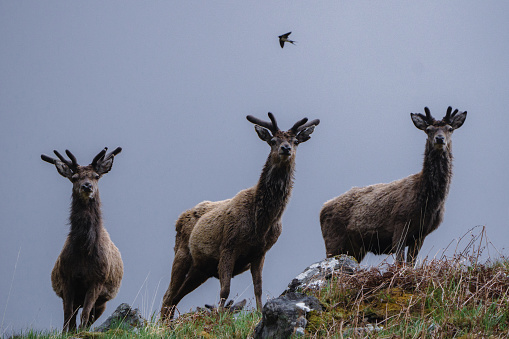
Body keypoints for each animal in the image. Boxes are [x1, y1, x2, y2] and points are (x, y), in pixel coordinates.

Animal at [41, 147, 123, 332]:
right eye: (74, 178)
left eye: (96, 176)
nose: (87, 186)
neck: (84, 251)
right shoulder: (66, 278)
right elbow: (67, 315)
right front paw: (64, 333)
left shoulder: (98, 280)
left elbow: (84, 315)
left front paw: (79, 331)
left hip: (102, 302)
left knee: (88, 317)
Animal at [160, 113, 318, 320]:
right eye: (273, 141)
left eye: (296, 141)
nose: (286, 148)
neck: (261, 223)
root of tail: (179, 218)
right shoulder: (228, 245)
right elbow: (225, 290)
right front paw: (219, 318)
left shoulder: (260, 252)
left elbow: (258, 288)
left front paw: (259, 313)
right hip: (182, 252)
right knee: (168, 295)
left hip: (200, 269)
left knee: (176, 297)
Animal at [320, 107, 466, 264]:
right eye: (428, 129)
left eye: (450, 129)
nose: (439, 139)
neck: (426, 202)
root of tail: (322, 209)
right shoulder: (400, 223)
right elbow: (399, 262)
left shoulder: (421, 234)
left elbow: (410, 263)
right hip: (333, 239)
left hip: (355, 248)